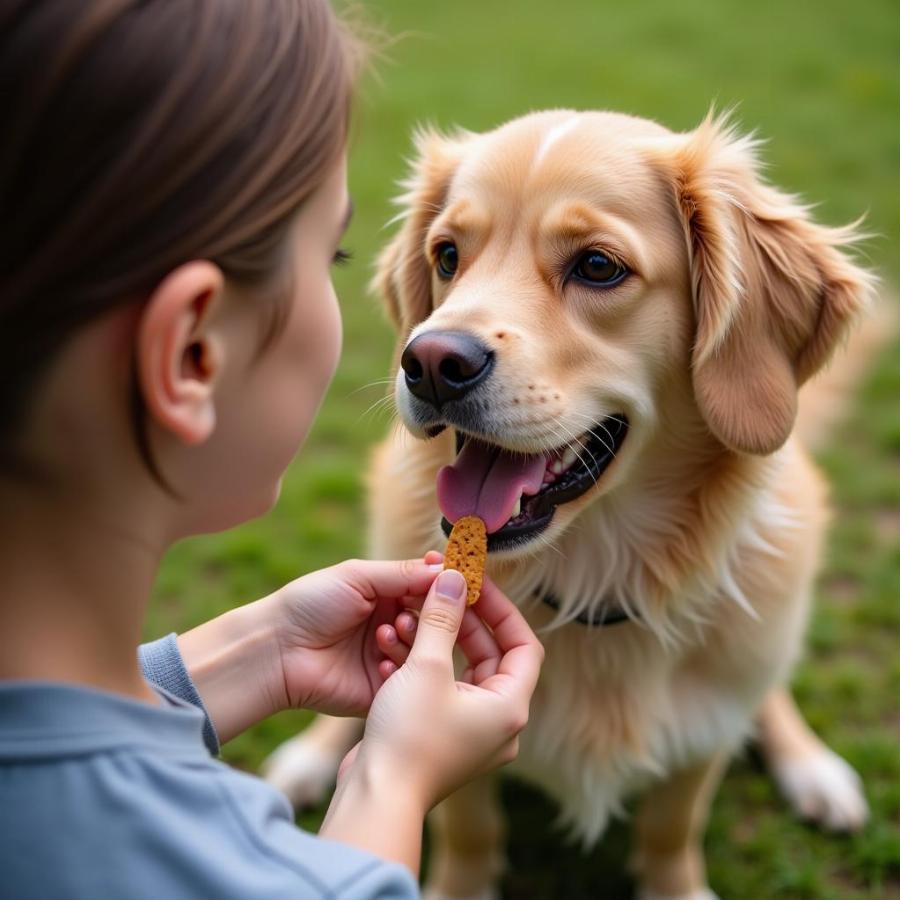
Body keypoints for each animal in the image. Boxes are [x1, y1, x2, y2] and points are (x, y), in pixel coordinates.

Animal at [266, 112, 880, 900]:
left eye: (597, 267)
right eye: (447, 255)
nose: (428, 362)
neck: (598, 578)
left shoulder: (700, 739)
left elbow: (671, 828)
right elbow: (469, 828)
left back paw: (813, 769)